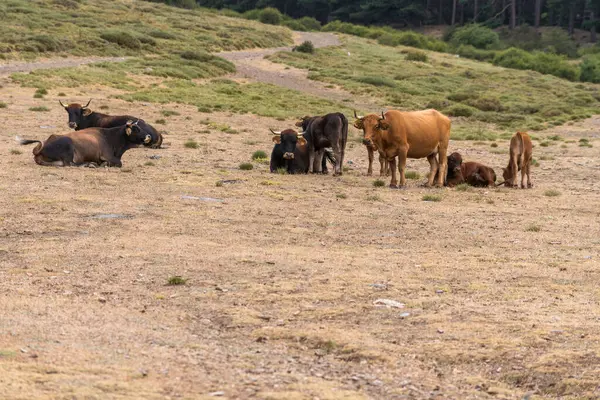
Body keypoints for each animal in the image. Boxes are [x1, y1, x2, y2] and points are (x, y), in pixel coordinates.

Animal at [17, 120, 152, 167]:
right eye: (136, 129)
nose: (148, 136)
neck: (109, 137)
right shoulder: (107, 156)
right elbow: (119, 163)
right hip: (68, 149)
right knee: (70, 164)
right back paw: (89, 164)